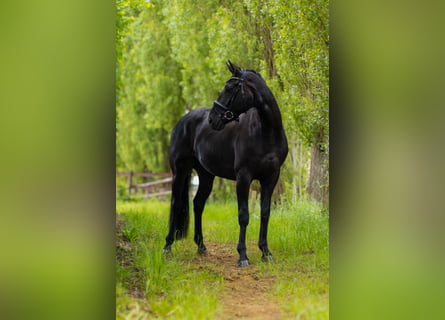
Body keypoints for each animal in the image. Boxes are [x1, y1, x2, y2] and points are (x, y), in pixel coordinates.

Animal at [163, 61, 288, 266]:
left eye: (230, 88)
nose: (212, 119)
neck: (266, 132)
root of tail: (184, 120)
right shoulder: (244, 177)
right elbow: (243, 215)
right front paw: (243, 256)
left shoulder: (271, 178)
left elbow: (265, 213)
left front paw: (266, 252)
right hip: (179, 171)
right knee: (175, 203)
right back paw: (167, 247)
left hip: (206, 175)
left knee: (198, 204)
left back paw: (201, 246)